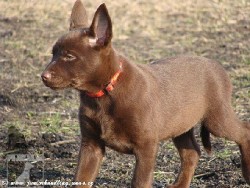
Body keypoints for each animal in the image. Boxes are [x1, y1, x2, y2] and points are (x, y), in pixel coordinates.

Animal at [41, 0, 250, 187]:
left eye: (69, 56)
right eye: (53, 53)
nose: (43, 76)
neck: (104, 94)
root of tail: (215, 64)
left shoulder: (146, 147)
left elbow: (139, 182)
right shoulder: (90, 146)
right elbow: (80, 179)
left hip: (216, 118)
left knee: (244, 132)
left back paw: (247, 173)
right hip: (181, 124)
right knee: (192, 152)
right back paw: (179, 185)